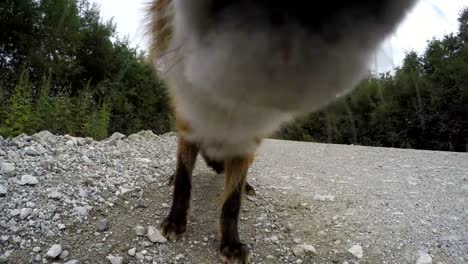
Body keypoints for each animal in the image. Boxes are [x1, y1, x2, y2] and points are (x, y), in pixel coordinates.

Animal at [145, 1, 416, 262]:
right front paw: (175, 221)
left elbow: (231, 204)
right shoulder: (188, 128)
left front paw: (230, 243)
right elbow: (184, 181)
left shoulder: (246, 145)